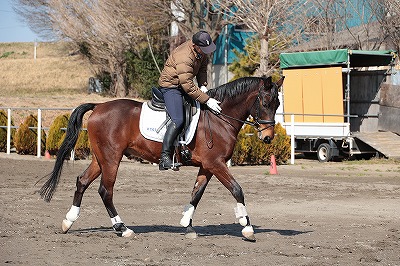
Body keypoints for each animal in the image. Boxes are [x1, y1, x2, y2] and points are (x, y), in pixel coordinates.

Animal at [39, 76, 284, 242]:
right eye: (264, 102)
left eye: (277, 104)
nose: (267, 137)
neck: (218, 118)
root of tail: (99, 106)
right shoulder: (216, 163)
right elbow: (237, 190)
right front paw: (247, 227)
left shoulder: (207, 166)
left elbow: (196, 194)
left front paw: (187, 225)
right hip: (111, 159)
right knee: (105, 191)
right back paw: (122, 228)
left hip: (101, 158)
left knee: (82, 181)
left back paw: (68, 221)